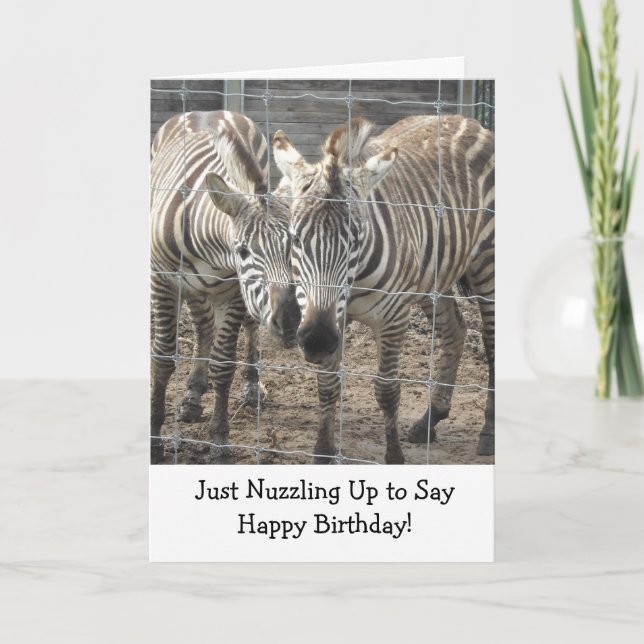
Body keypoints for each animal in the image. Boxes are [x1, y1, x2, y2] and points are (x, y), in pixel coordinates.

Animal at [150, 110, 299, 464]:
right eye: (243, 250)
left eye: (294, 245)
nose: (289, 322)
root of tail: (210, 112)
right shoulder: (161, 280)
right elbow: (162, 358)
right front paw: (155, 440)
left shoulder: (234, 292)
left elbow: (223, 366)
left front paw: (220, 442)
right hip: (194, 288)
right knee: (203, 327)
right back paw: (192, 396)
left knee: (248, 328)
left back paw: (251, 388)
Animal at [272, 114, 494, 464]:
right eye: (295, 239)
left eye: (355, 241)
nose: (317, 340)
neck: (353, 283)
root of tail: (467, 120)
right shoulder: (333, 317)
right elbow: (328, 385)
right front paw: (322, 453)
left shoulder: (393, 317)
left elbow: (387, 390)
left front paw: (394, 456)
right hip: (435, 276)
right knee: (455, 331)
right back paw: (429, 421)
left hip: (487, 260)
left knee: (491, 341)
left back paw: (488, 434)